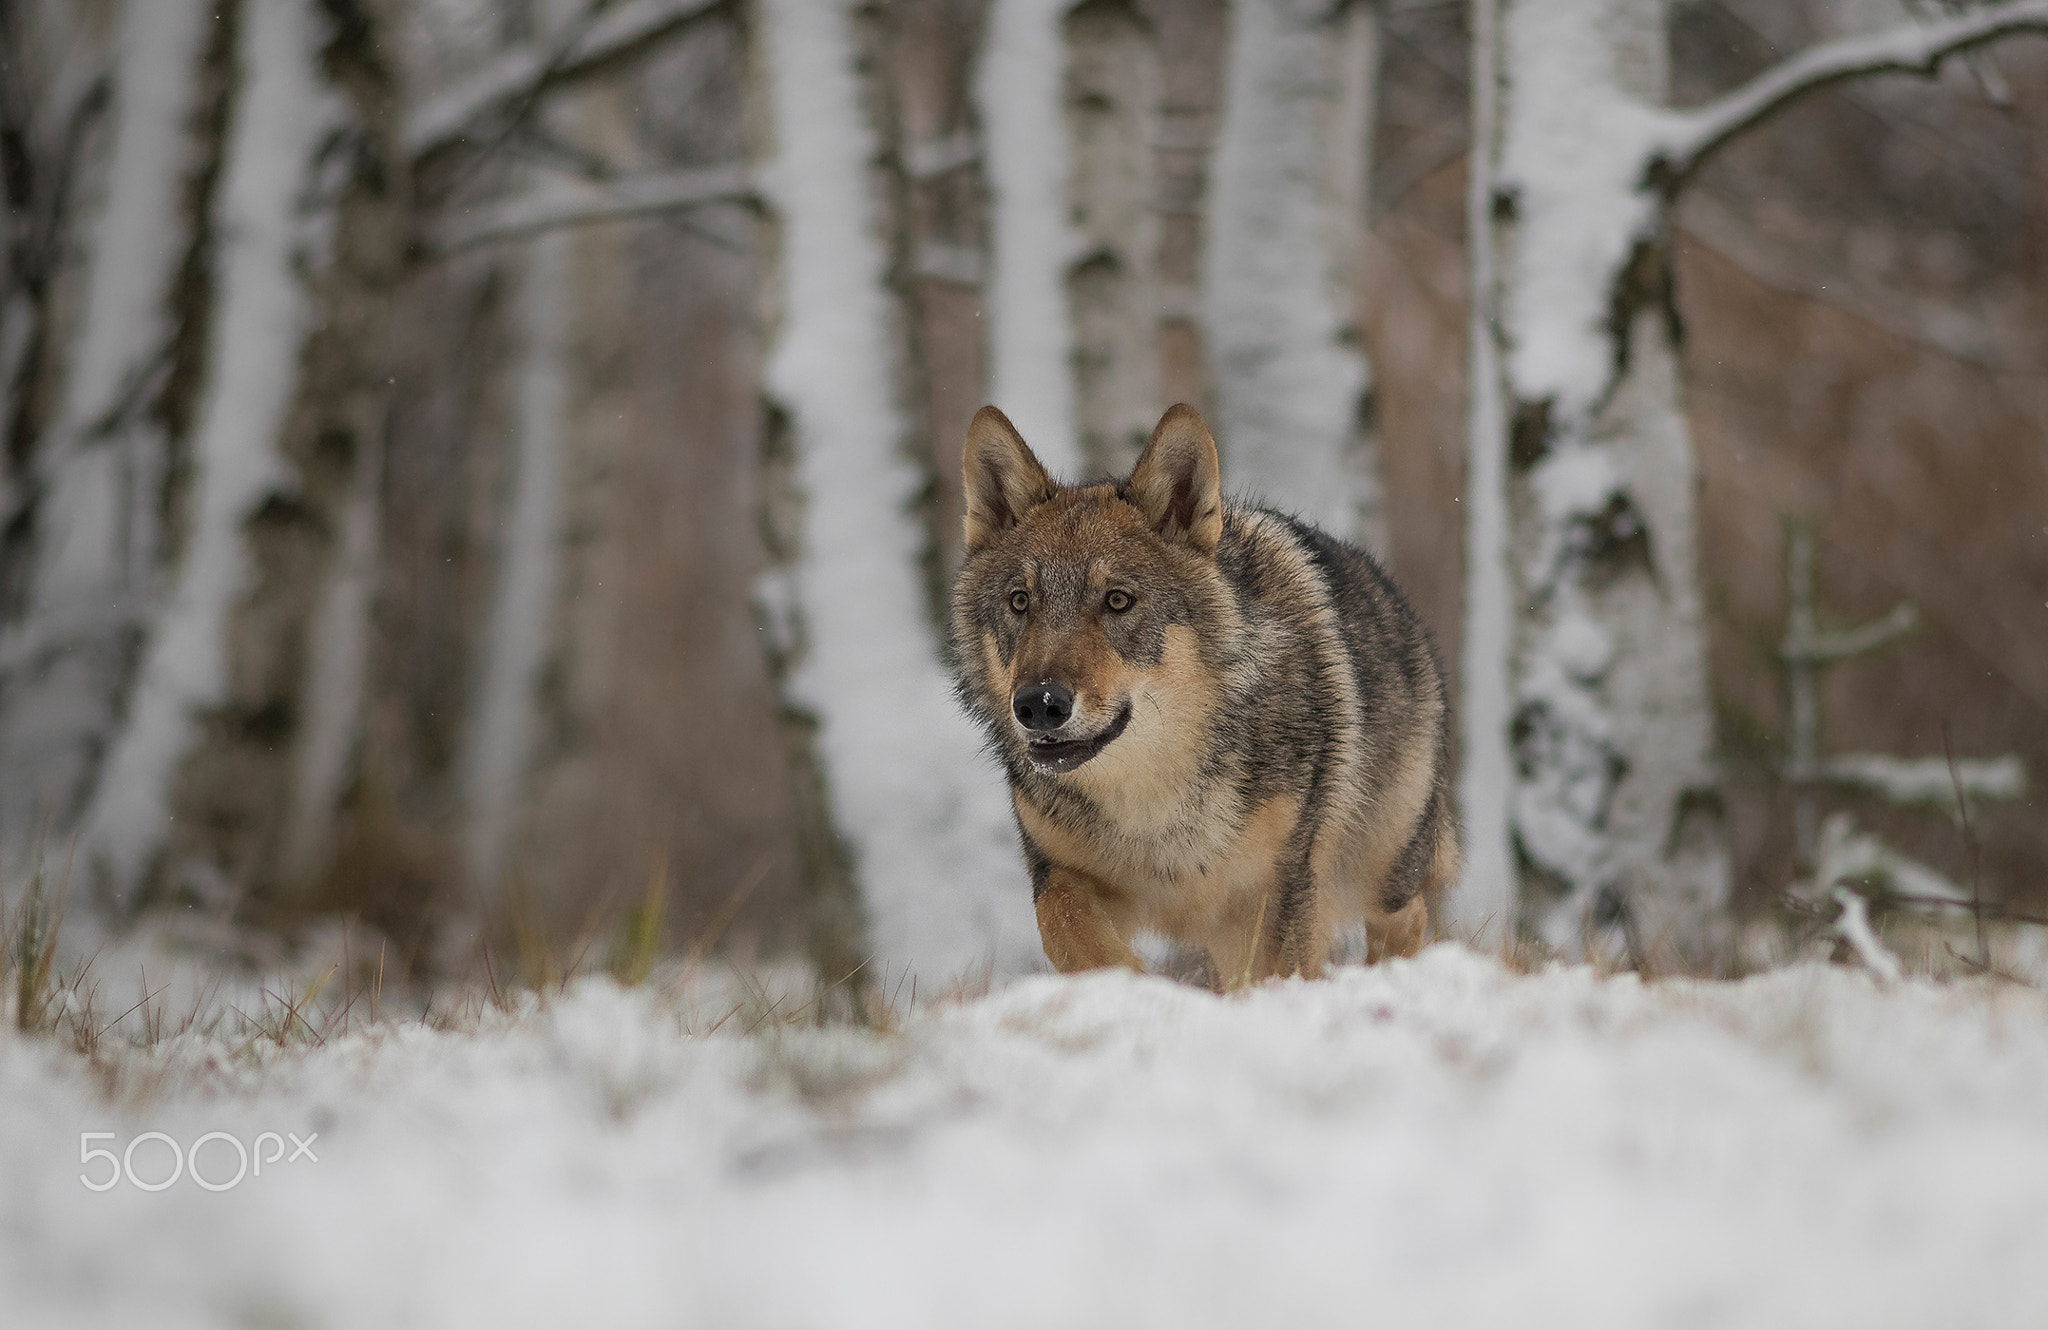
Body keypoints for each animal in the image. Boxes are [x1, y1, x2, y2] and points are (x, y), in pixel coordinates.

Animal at [950, 399, 1466, 979]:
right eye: (1020, 602)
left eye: (1118, 600)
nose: (1039, 704)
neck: (1156, 809)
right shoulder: (1058, 870)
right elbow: (1065, 927)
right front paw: (1133, 981)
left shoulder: (1277, 891)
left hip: (1382, 873)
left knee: (1406, 918)